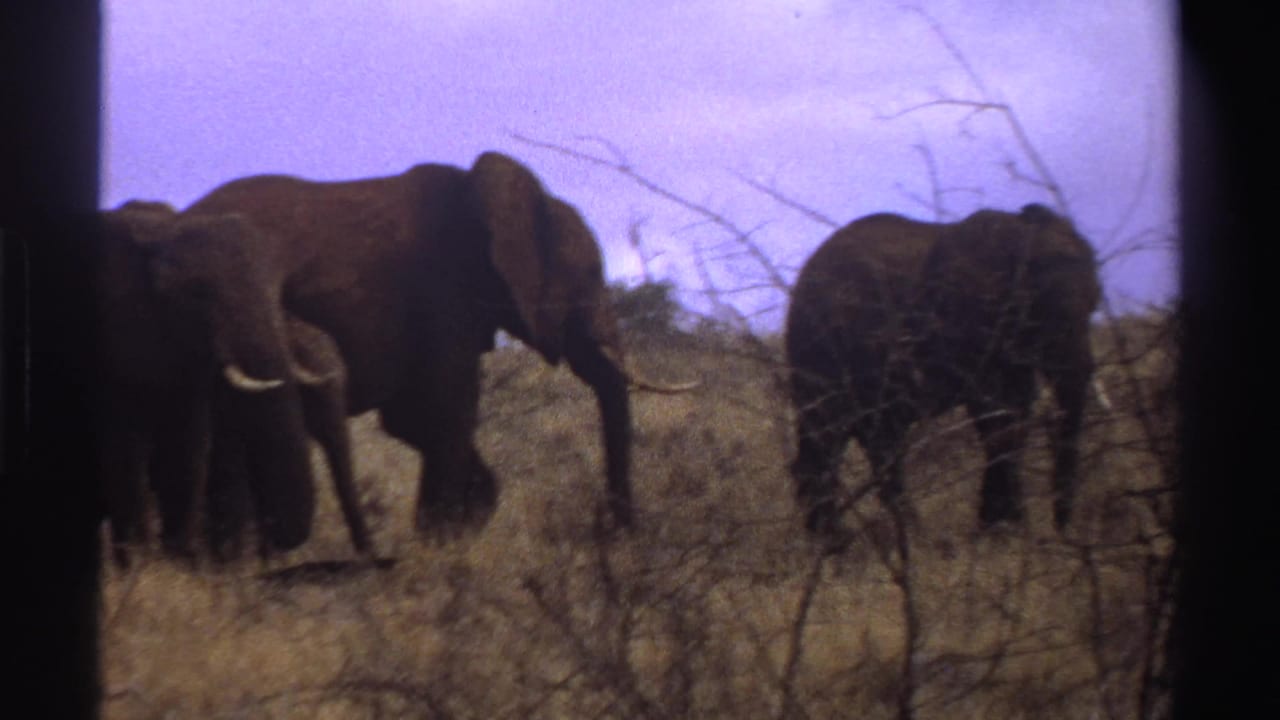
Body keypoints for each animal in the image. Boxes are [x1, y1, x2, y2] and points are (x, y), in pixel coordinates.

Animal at [95, 201, 372, 567]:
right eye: (196, 294)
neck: (159, 229)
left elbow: (189, 446)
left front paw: (185, 566)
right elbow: (126, 448)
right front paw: (147, 568)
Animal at [180, 151, 690, 541]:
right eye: (587, 278)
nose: (615, 534)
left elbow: (411, 420)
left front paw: (461, 526)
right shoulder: (444, 296)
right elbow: (446, 413)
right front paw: (441, 548)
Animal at [785, 203, 1102, 547]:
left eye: (1095, 304)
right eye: (1041, 312)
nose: (1062, 531)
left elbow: (1015, 414)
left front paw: (1004, 529)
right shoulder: (970, 322)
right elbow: (995, 416)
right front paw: (1003, 533)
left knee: (873, 439)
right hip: (820, 350)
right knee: (834, 434)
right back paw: (851, 541)